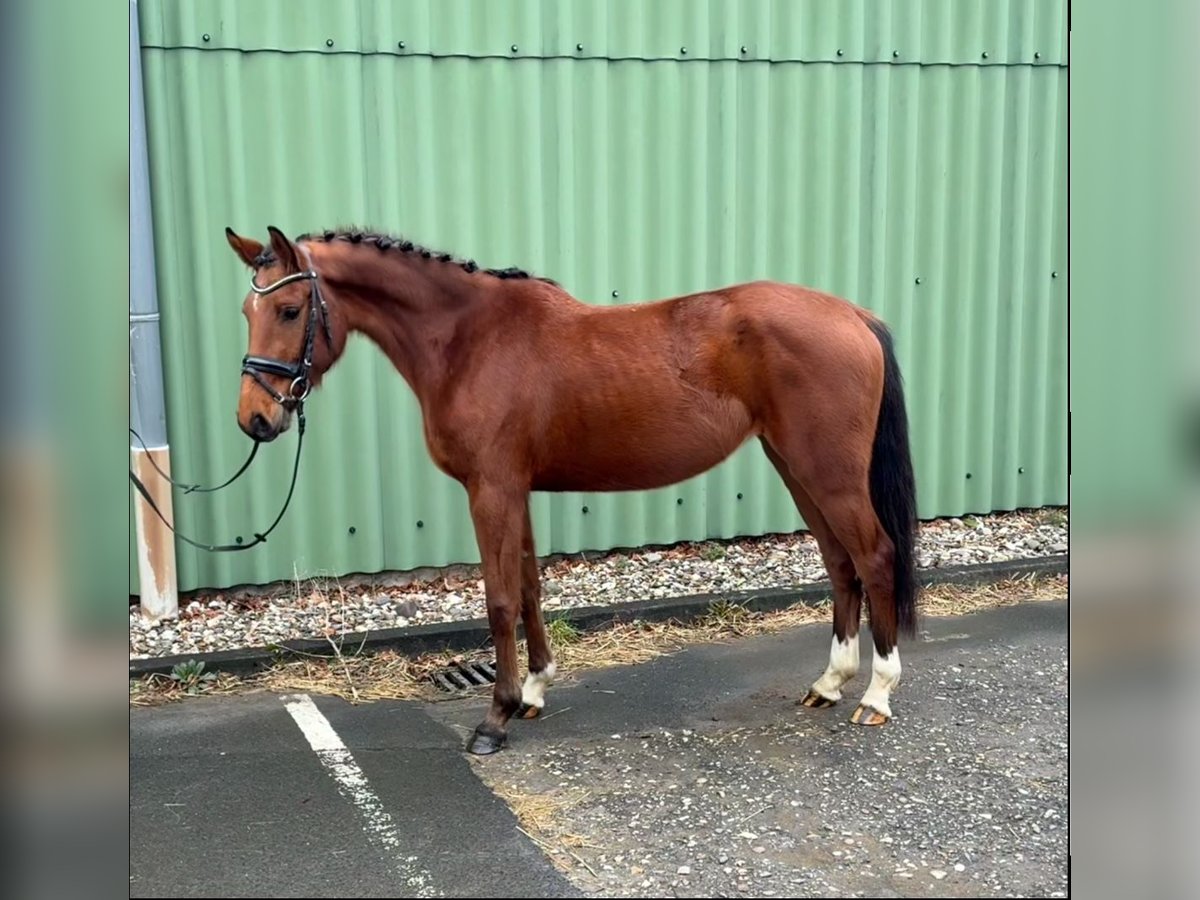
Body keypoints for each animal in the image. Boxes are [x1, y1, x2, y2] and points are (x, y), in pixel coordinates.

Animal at [225, 225, 916, 753]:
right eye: (247, 312)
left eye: (290, 310)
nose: (254, 420)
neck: (469, 340)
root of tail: (853, 314)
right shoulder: (517, 491)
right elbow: (531, 588)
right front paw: (533, 692)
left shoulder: (492, 490)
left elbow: (500, 600)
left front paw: (495, 719)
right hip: (796, 467)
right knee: (840, 564)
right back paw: (829, 684)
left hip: (827, 472)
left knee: (875, 557)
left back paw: (877, 693)